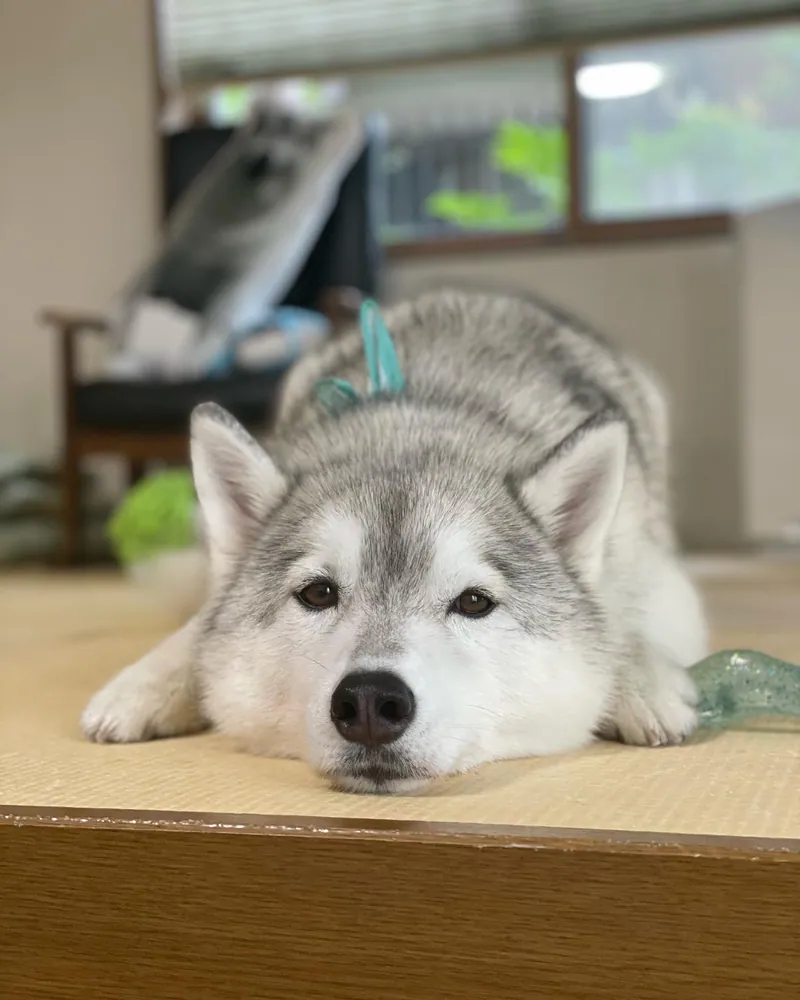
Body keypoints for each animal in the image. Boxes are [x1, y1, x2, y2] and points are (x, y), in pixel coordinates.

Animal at [83, 292, 708, 796]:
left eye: (474, 602)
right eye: (317, 593)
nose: (368, 702)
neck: (414, 425)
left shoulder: (658, 579)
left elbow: (622, 618)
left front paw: (641, 681)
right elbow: (198, 630)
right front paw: (145, 684)